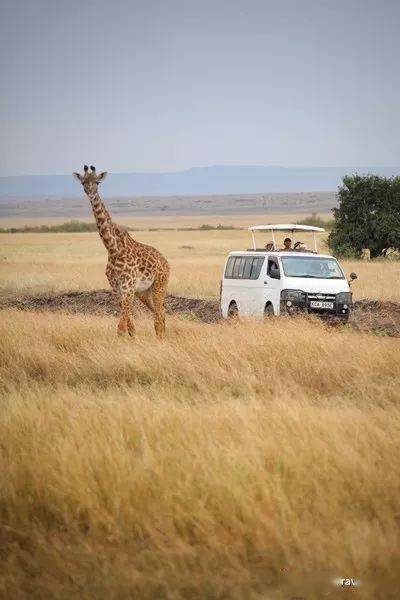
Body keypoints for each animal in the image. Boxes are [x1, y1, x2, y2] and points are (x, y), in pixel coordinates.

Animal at [74, 166, 170, 340]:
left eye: (97, 182)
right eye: (83, 182)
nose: (90, 192)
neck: (113, 249)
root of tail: (166, 262)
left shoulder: (128, 286)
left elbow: (120, 326)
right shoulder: (116, 287)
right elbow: (127, 325)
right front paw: (131, 338)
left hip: (159, 285)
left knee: (159, 315)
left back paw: (160, 339)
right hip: (144, 291)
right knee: (161, 313)